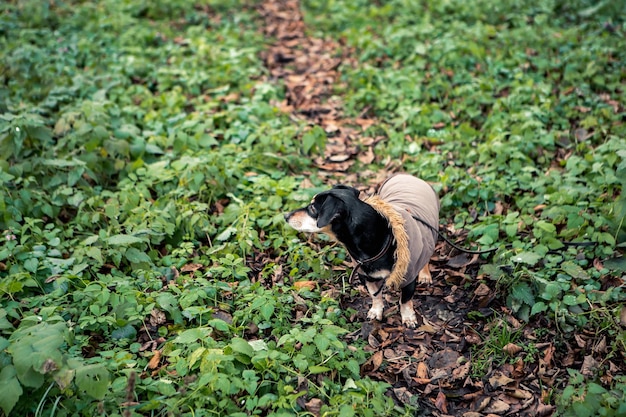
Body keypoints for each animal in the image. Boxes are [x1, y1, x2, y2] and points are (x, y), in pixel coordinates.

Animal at [284, 172, 438, 324]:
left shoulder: (408, 278)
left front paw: (408, 317)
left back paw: (424, 274)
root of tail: (407, 175)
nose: (285, 215)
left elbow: (405, 301)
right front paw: (376, 311)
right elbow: (375, 295)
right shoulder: (366, 276)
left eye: (312, 208)